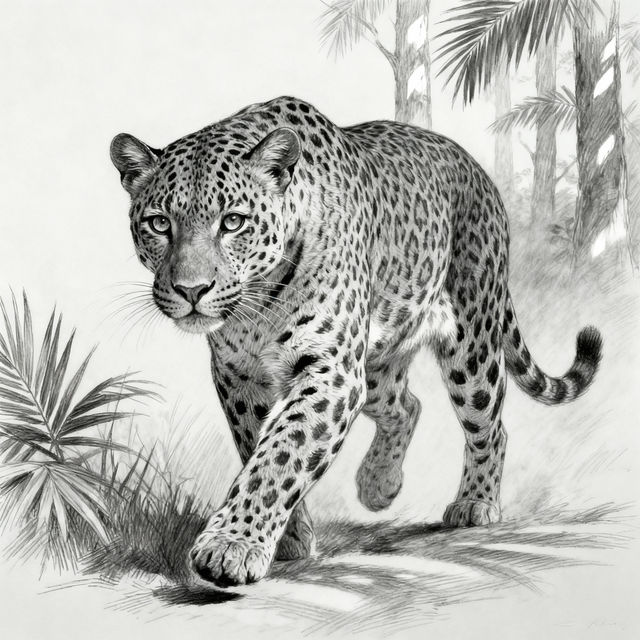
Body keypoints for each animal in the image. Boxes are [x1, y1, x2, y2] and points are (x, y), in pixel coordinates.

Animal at [110, 96, 602, 588]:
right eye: (159, 224)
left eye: (232, 222)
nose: (191, 290)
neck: (258, 305)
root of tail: (476, 169)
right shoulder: (240, 376)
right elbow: (258, 448)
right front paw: (289, 540)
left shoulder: (330, 371)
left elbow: (281, 454)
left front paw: (232, 546)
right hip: (374, 366)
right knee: (407, 405)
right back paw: (379, 484)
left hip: (470, 343)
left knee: (490, 426)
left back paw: (475, 503)